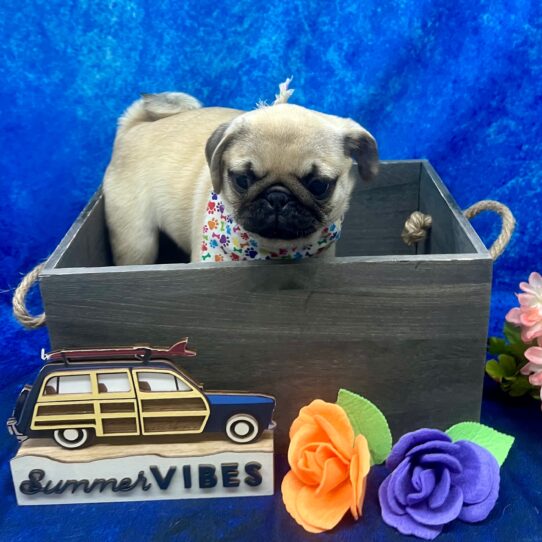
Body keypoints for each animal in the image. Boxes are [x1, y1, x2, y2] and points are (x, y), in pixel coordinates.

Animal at [104, 91, 380, 266]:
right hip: (137, 242)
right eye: (242, 180)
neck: (275, 251)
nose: (277, 197)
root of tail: (134, 127)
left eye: (319, 185)